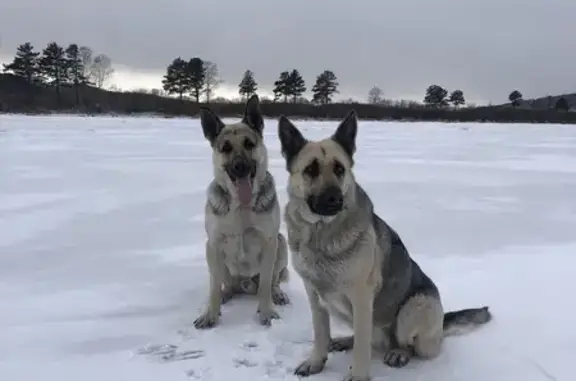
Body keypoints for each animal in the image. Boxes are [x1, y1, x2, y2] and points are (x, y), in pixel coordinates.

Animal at [195, 93, 292, 328]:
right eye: (226, 148)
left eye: (249, 144)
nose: (240, 167)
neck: (241, 206)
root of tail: (246, 284)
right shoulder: (213, 244)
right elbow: (213, 287)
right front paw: (210, 314)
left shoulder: (269, 242)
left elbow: (265, 284)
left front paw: (266, 312)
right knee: (226, 284)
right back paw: (226, 294)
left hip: (281, 243)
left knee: (273, 281)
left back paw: (278, 295)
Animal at [278, 111, 490, 378]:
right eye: (311, 170)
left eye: (339, 169)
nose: (335, 199)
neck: (321, 234)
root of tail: (442, 324)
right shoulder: (315, 296)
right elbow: (320, 334)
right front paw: (316, 361)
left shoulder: (361, 297)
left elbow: (362, 348)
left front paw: (357, 376)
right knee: (368, 339)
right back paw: (345, 340)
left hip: (415, 306)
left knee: (403, 344)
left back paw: (399, 352)